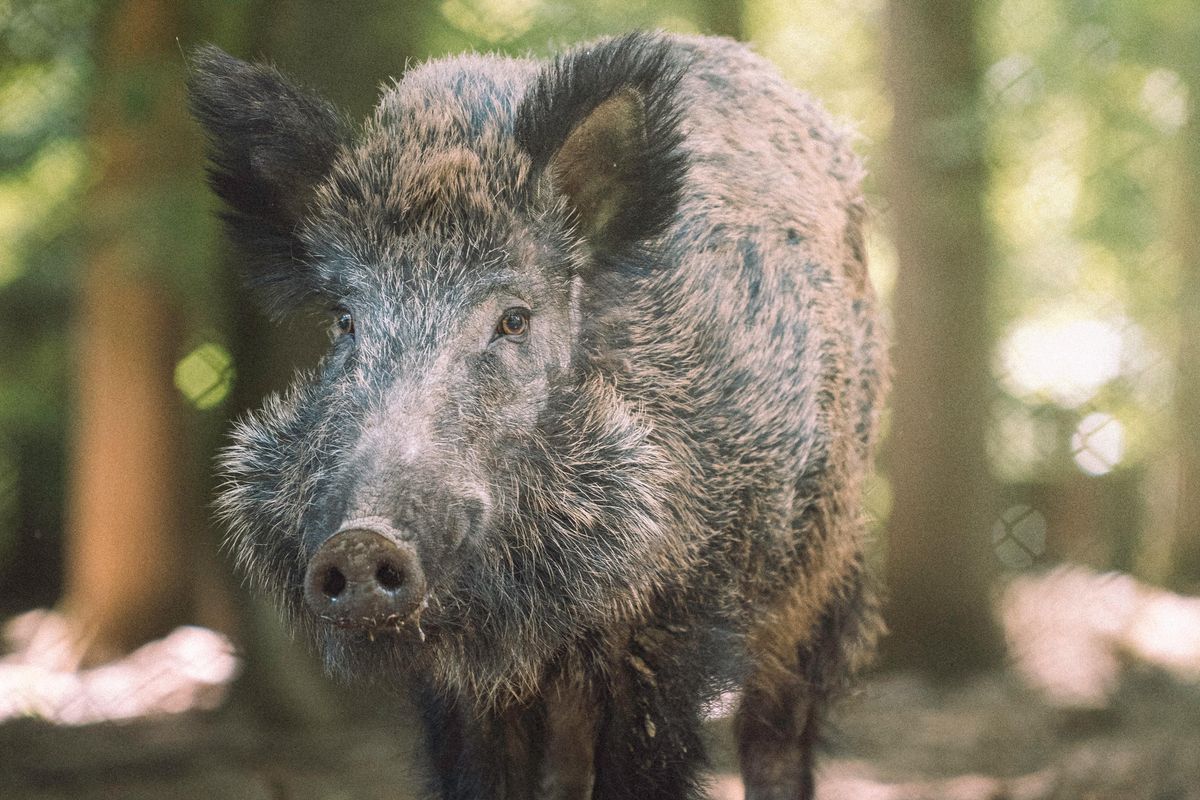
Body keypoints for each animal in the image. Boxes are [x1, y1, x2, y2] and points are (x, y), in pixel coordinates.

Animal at [190, 30, 886, 800]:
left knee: (776, 733)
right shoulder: (460, 687)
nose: (361, 541)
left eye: (515, 319)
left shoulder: (674, 630)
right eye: (345, 321)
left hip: (820, 578)